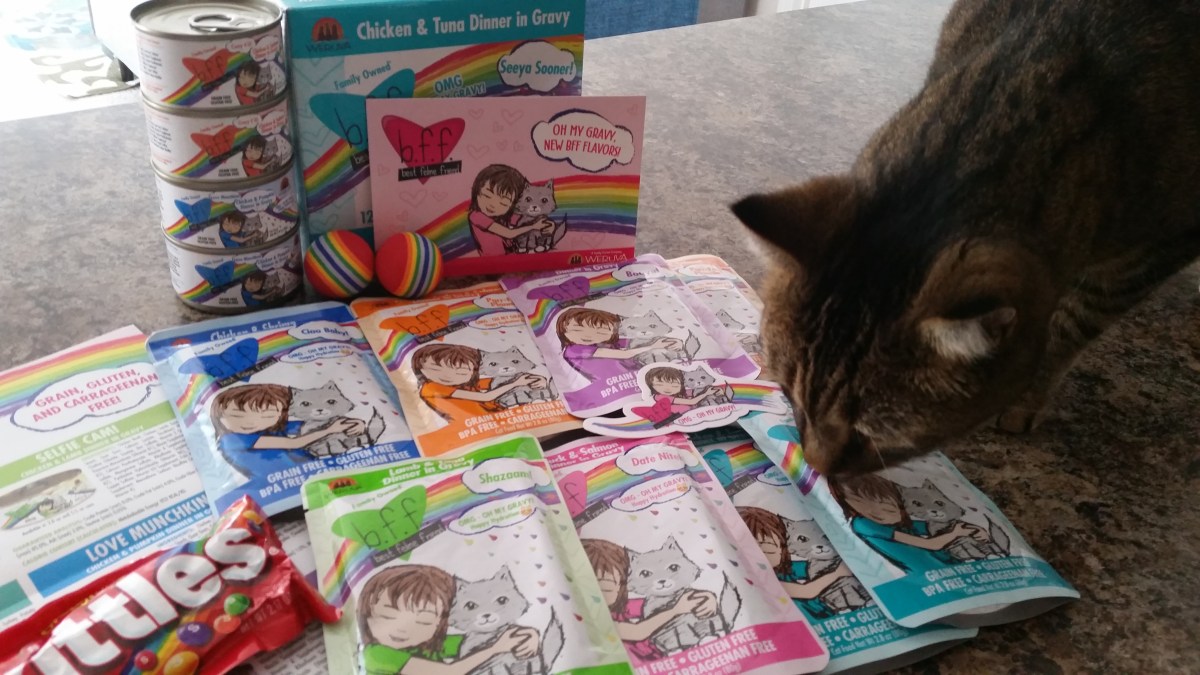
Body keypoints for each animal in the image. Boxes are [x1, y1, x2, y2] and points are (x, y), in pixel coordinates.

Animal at [731, 0, 1200, 476]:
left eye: (873, 436)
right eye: (792, 396)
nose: (816, 468)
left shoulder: (1155, 252)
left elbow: (1071, 326)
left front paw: (1027, 394)